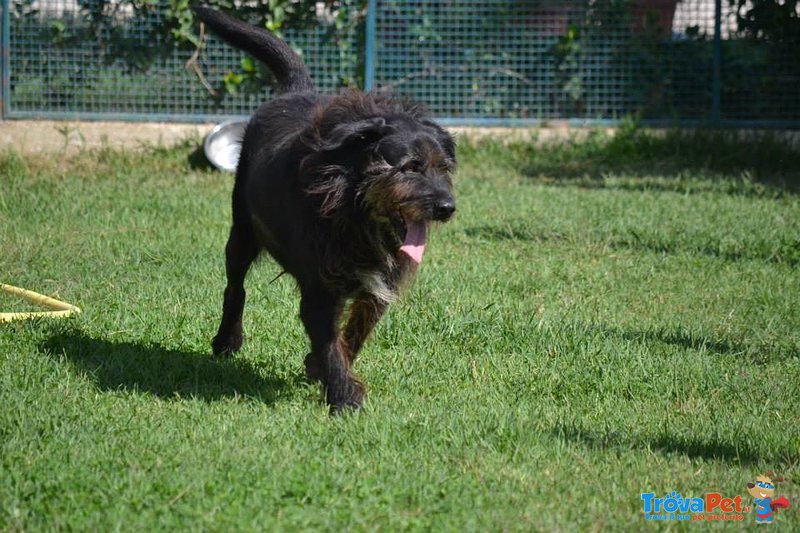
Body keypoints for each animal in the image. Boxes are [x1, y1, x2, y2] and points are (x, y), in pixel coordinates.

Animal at [194, 6, 456, 412]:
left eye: (443, 168)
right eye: (410, 166)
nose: (447, 207)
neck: (354, 210)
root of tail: (295, 90)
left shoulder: (377, 288)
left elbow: (354, 334)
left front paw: (319, 368)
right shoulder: (320, 289)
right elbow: (330, 342)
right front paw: (345, 398)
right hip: (241, 233)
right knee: (235, 287)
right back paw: (227, 340)